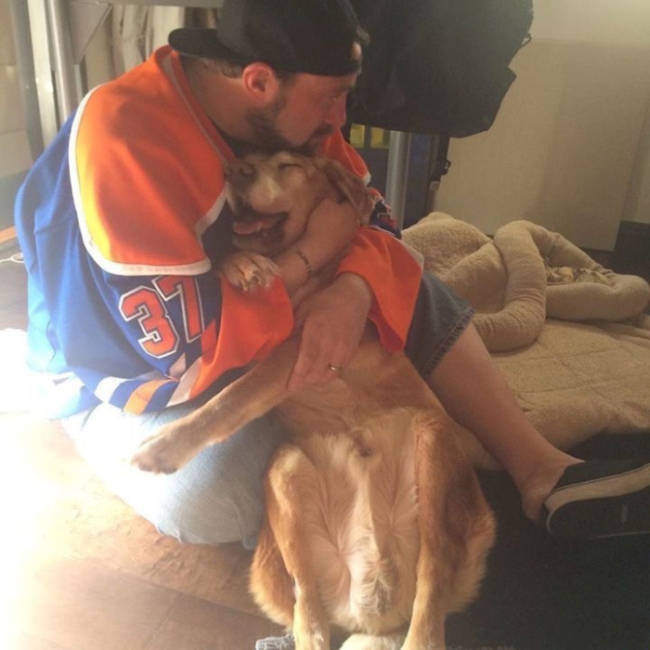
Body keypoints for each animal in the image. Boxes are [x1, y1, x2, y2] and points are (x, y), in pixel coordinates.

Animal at [131, 151, 496, 650]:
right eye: (245, 156)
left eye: (288, 165)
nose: (236, 169)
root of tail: (377, 614)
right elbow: (228, 271)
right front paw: (243, 265)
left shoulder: (300, 348)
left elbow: (230, 398)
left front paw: (165, 446)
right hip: (284, 469)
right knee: (308, 600)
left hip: (434, 437)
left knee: (433, 574)